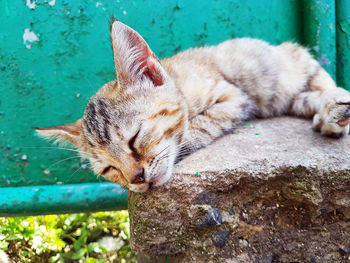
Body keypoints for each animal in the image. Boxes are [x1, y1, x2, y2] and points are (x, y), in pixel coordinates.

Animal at [35, 18, 350, 192]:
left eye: (135, 138)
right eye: (108, 170)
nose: (137, 179)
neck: (182, 85)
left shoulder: (233, 95)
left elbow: (200, 124)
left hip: (290, 64)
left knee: (323, 85)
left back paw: (333, 108)